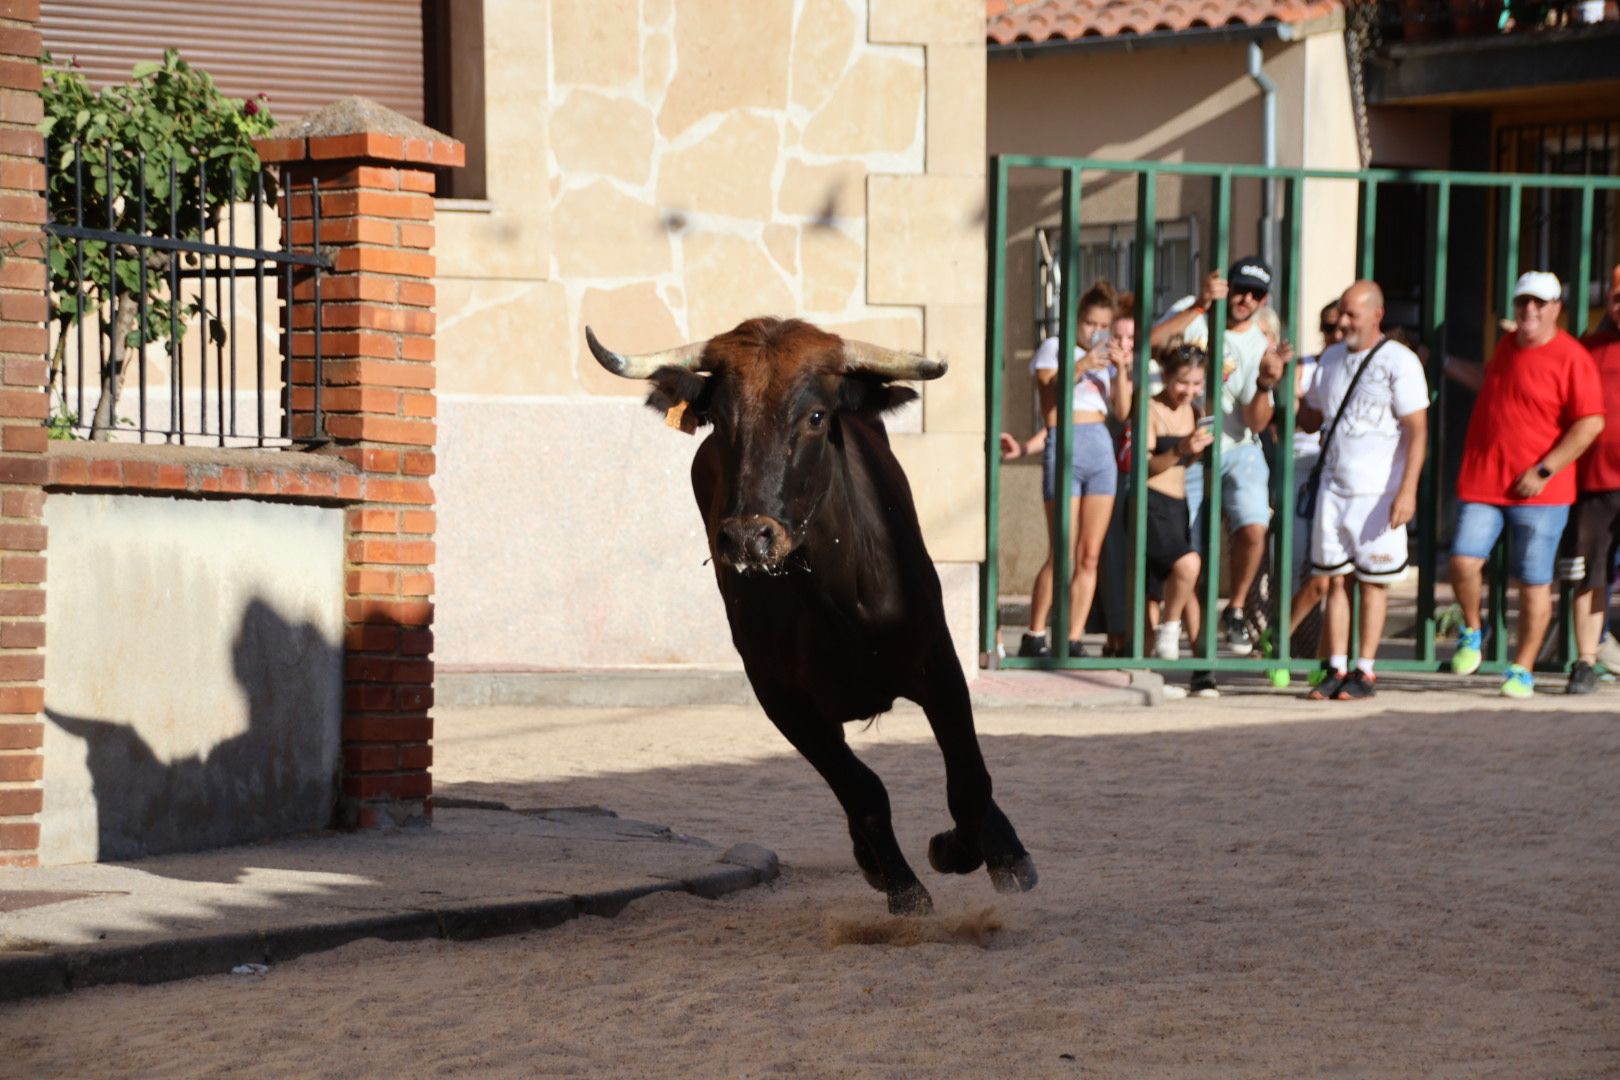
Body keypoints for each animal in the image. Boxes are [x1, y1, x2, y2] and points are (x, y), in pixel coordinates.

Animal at [586, 314, 1036, 913]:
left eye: (817, 417)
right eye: (718, 419)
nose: (748, 537)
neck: (837, 601)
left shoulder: (938, 662)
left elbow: (967, 781)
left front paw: (974, 852)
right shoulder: (782, 699)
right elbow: (862, 789)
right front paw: (903, 886)